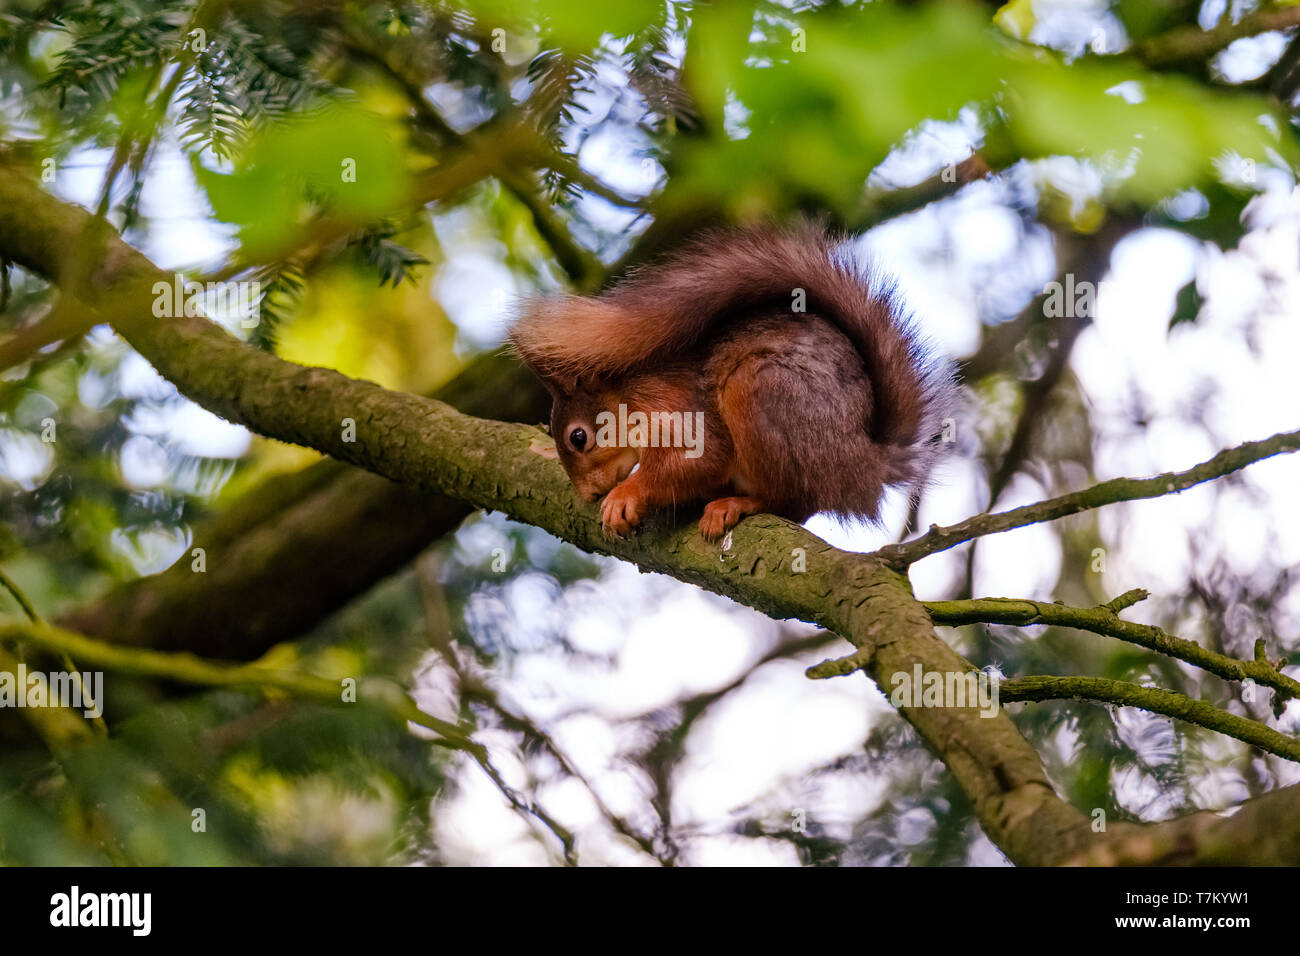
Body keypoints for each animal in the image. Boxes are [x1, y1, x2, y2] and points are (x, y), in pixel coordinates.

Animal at [509, 223, 953, 541]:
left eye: (578, 438)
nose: (588, 495)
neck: (628, 396)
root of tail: (867, 462)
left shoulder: (673, 406)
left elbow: (699, 459)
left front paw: (625, 495)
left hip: (758, 390)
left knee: (793, 502)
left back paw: (739, 504)